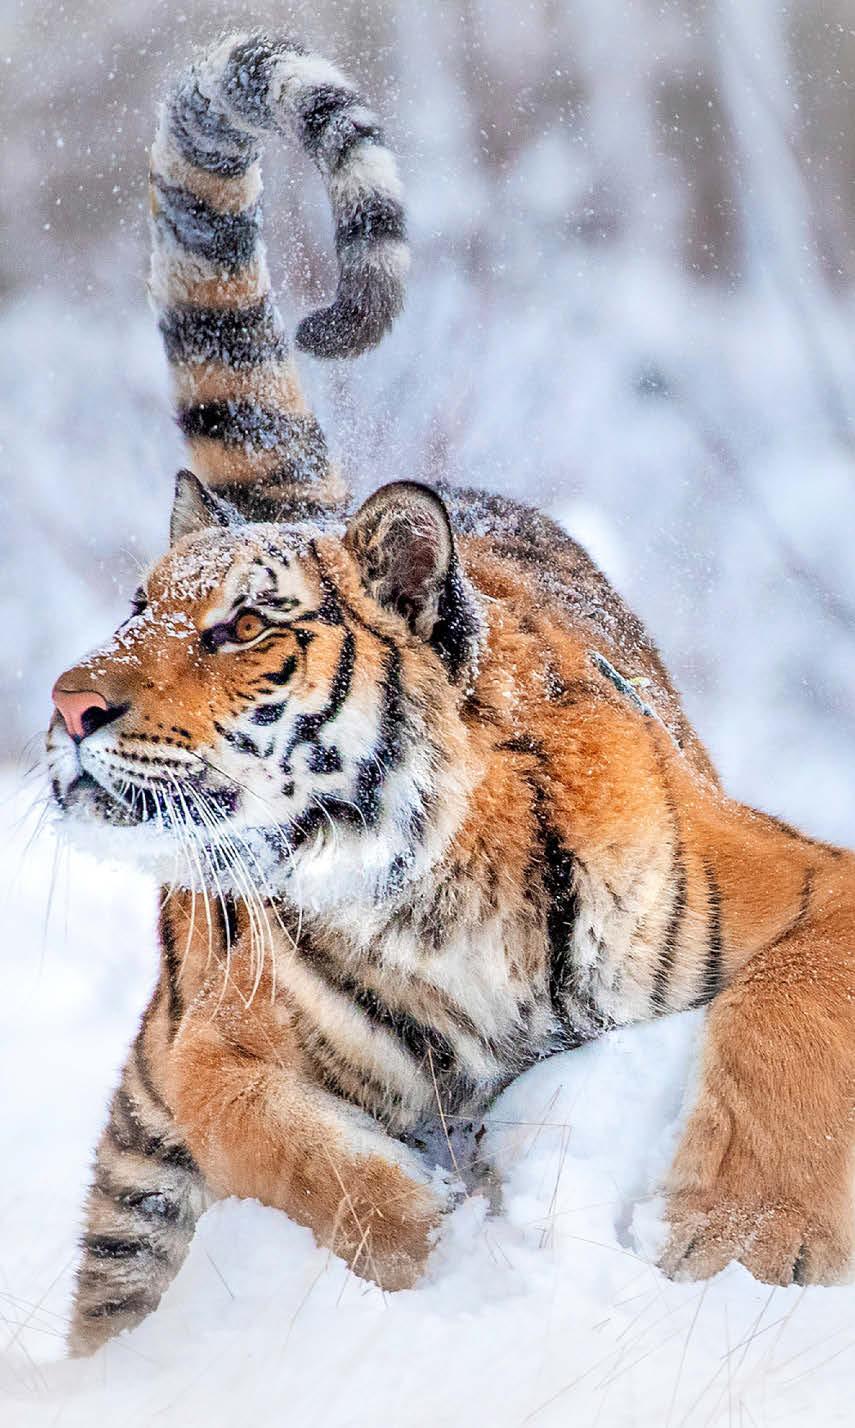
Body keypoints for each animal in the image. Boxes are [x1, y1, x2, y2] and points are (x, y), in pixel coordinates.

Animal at [46, 32, 855, 1357]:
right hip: (144, 1155)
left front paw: (743, 1246)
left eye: (245, 627)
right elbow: (296, 1155)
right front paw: (440, 1269)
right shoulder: (218, 1046)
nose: (67, 708)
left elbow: (790, 1034)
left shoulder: (811, 887)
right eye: (136, 606)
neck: (424, 892)